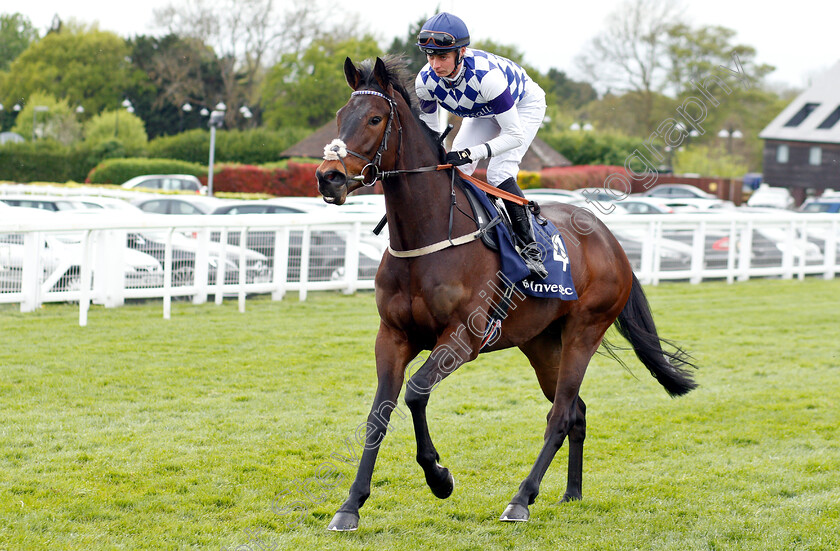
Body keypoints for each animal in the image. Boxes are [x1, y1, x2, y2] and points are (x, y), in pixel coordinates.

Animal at [316, 55, 696, 532]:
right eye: (338, 117)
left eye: (374, 118)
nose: (328, 177)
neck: (427, 238)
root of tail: (611, 241)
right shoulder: (392, 336)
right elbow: (377, 415)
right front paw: (350, 505)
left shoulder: (463, 338)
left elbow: (416, 393)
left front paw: (439, 477)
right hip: (541, 342)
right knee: (577, 411)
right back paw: (571, 493)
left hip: (583, 333)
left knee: (560, 415)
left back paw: (521, 499)